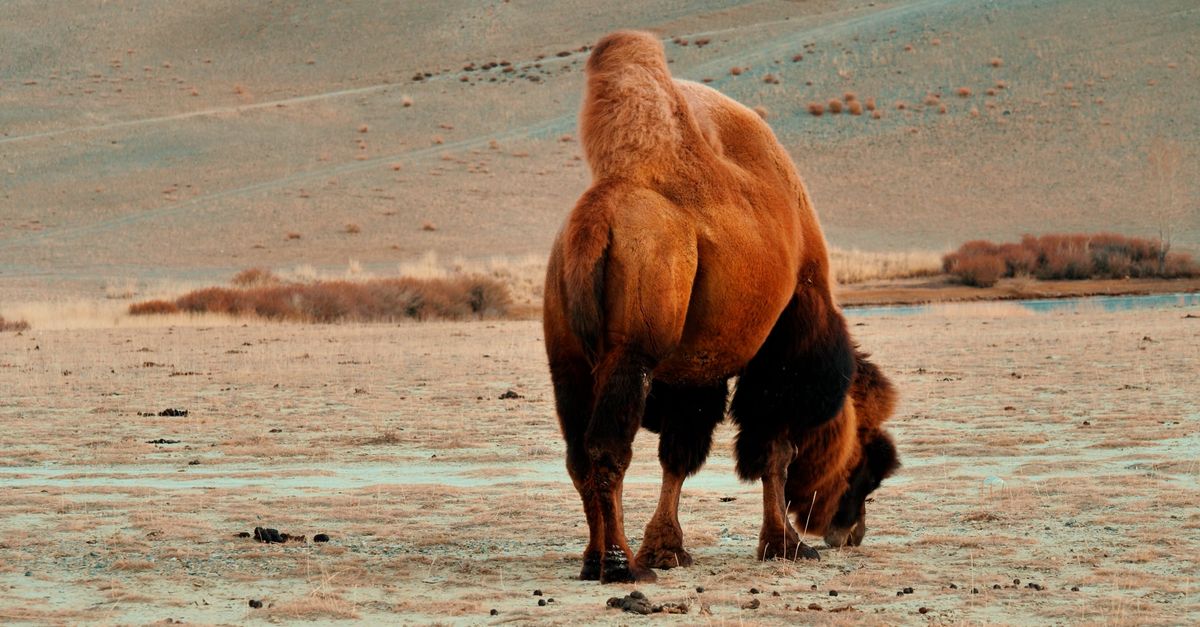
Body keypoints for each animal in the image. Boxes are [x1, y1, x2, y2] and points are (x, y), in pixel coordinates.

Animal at [543, 30, 894, 584]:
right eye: (866, 458)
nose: (851, 531)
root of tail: (599, 212)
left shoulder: (693, 373)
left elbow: (678, 456)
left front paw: (668, 550)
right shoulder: (780, 352)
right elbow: (773, 451)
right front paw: (785, 545)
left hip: (568, 359)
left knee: (579, 453)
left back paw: (593, 560)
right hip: (634, 351)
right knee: (607, 450)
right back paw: (622, 568)